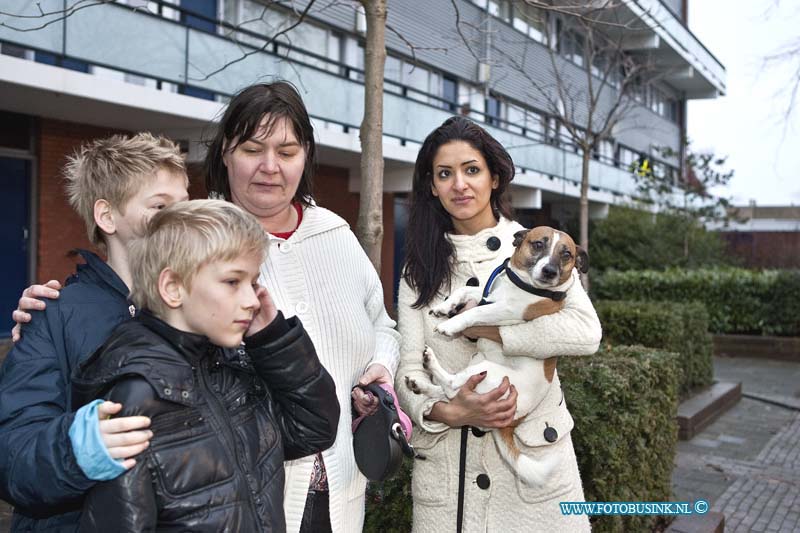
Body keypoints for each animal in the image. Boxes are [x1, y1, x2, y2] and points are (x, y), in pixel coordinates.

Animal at [410, 224, 584, 486]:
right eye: (538, 244)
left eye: (566, 254)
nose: (549, 271)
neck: (521, 285)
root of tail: (513, 422)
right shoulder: (486, 293)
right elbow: (466, 289)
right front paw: (444, 306)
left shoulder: (507, 310)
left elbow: (475, 312)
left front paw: (451, 324)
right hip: (478, 364)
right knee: (449, 393)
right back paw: (420, 385)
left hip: (487, 372)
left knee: (451, 386)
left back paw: (431, 364)